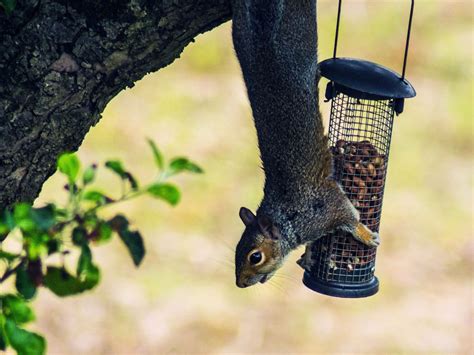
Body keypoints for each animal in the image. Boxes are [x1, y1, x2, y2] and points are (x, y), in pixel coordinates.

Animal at [231, 0, 380, 290]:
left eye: (255, 257)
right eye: (235, 252)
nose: (240, 284)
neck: (287, 216)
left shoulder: (327, 208)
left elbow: (349, 217)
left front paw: (366, 235)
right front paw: (308, 257)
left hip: (299, 30)